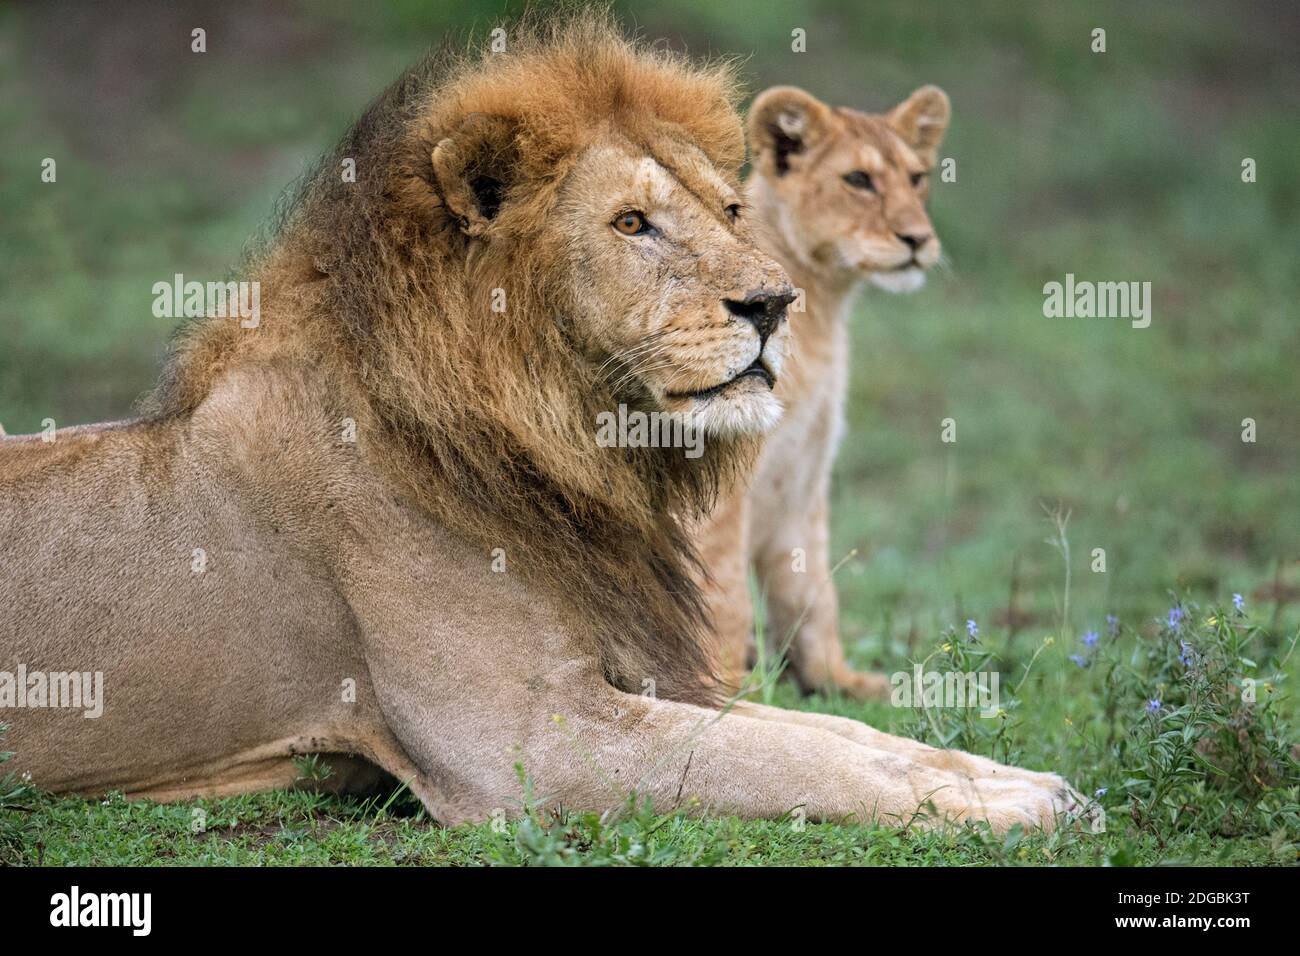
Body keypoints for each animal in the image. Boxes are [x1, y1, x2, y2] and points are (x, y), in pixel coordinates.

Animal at [702, 83, 956, 697]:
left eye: (917, 178)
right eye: (858, 180)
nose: (918, 239)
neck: (825, 307)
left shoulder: (804, 476)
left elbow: (812, 589)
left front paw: (841, 681)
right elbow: (726, 590)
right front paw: (730, 686)